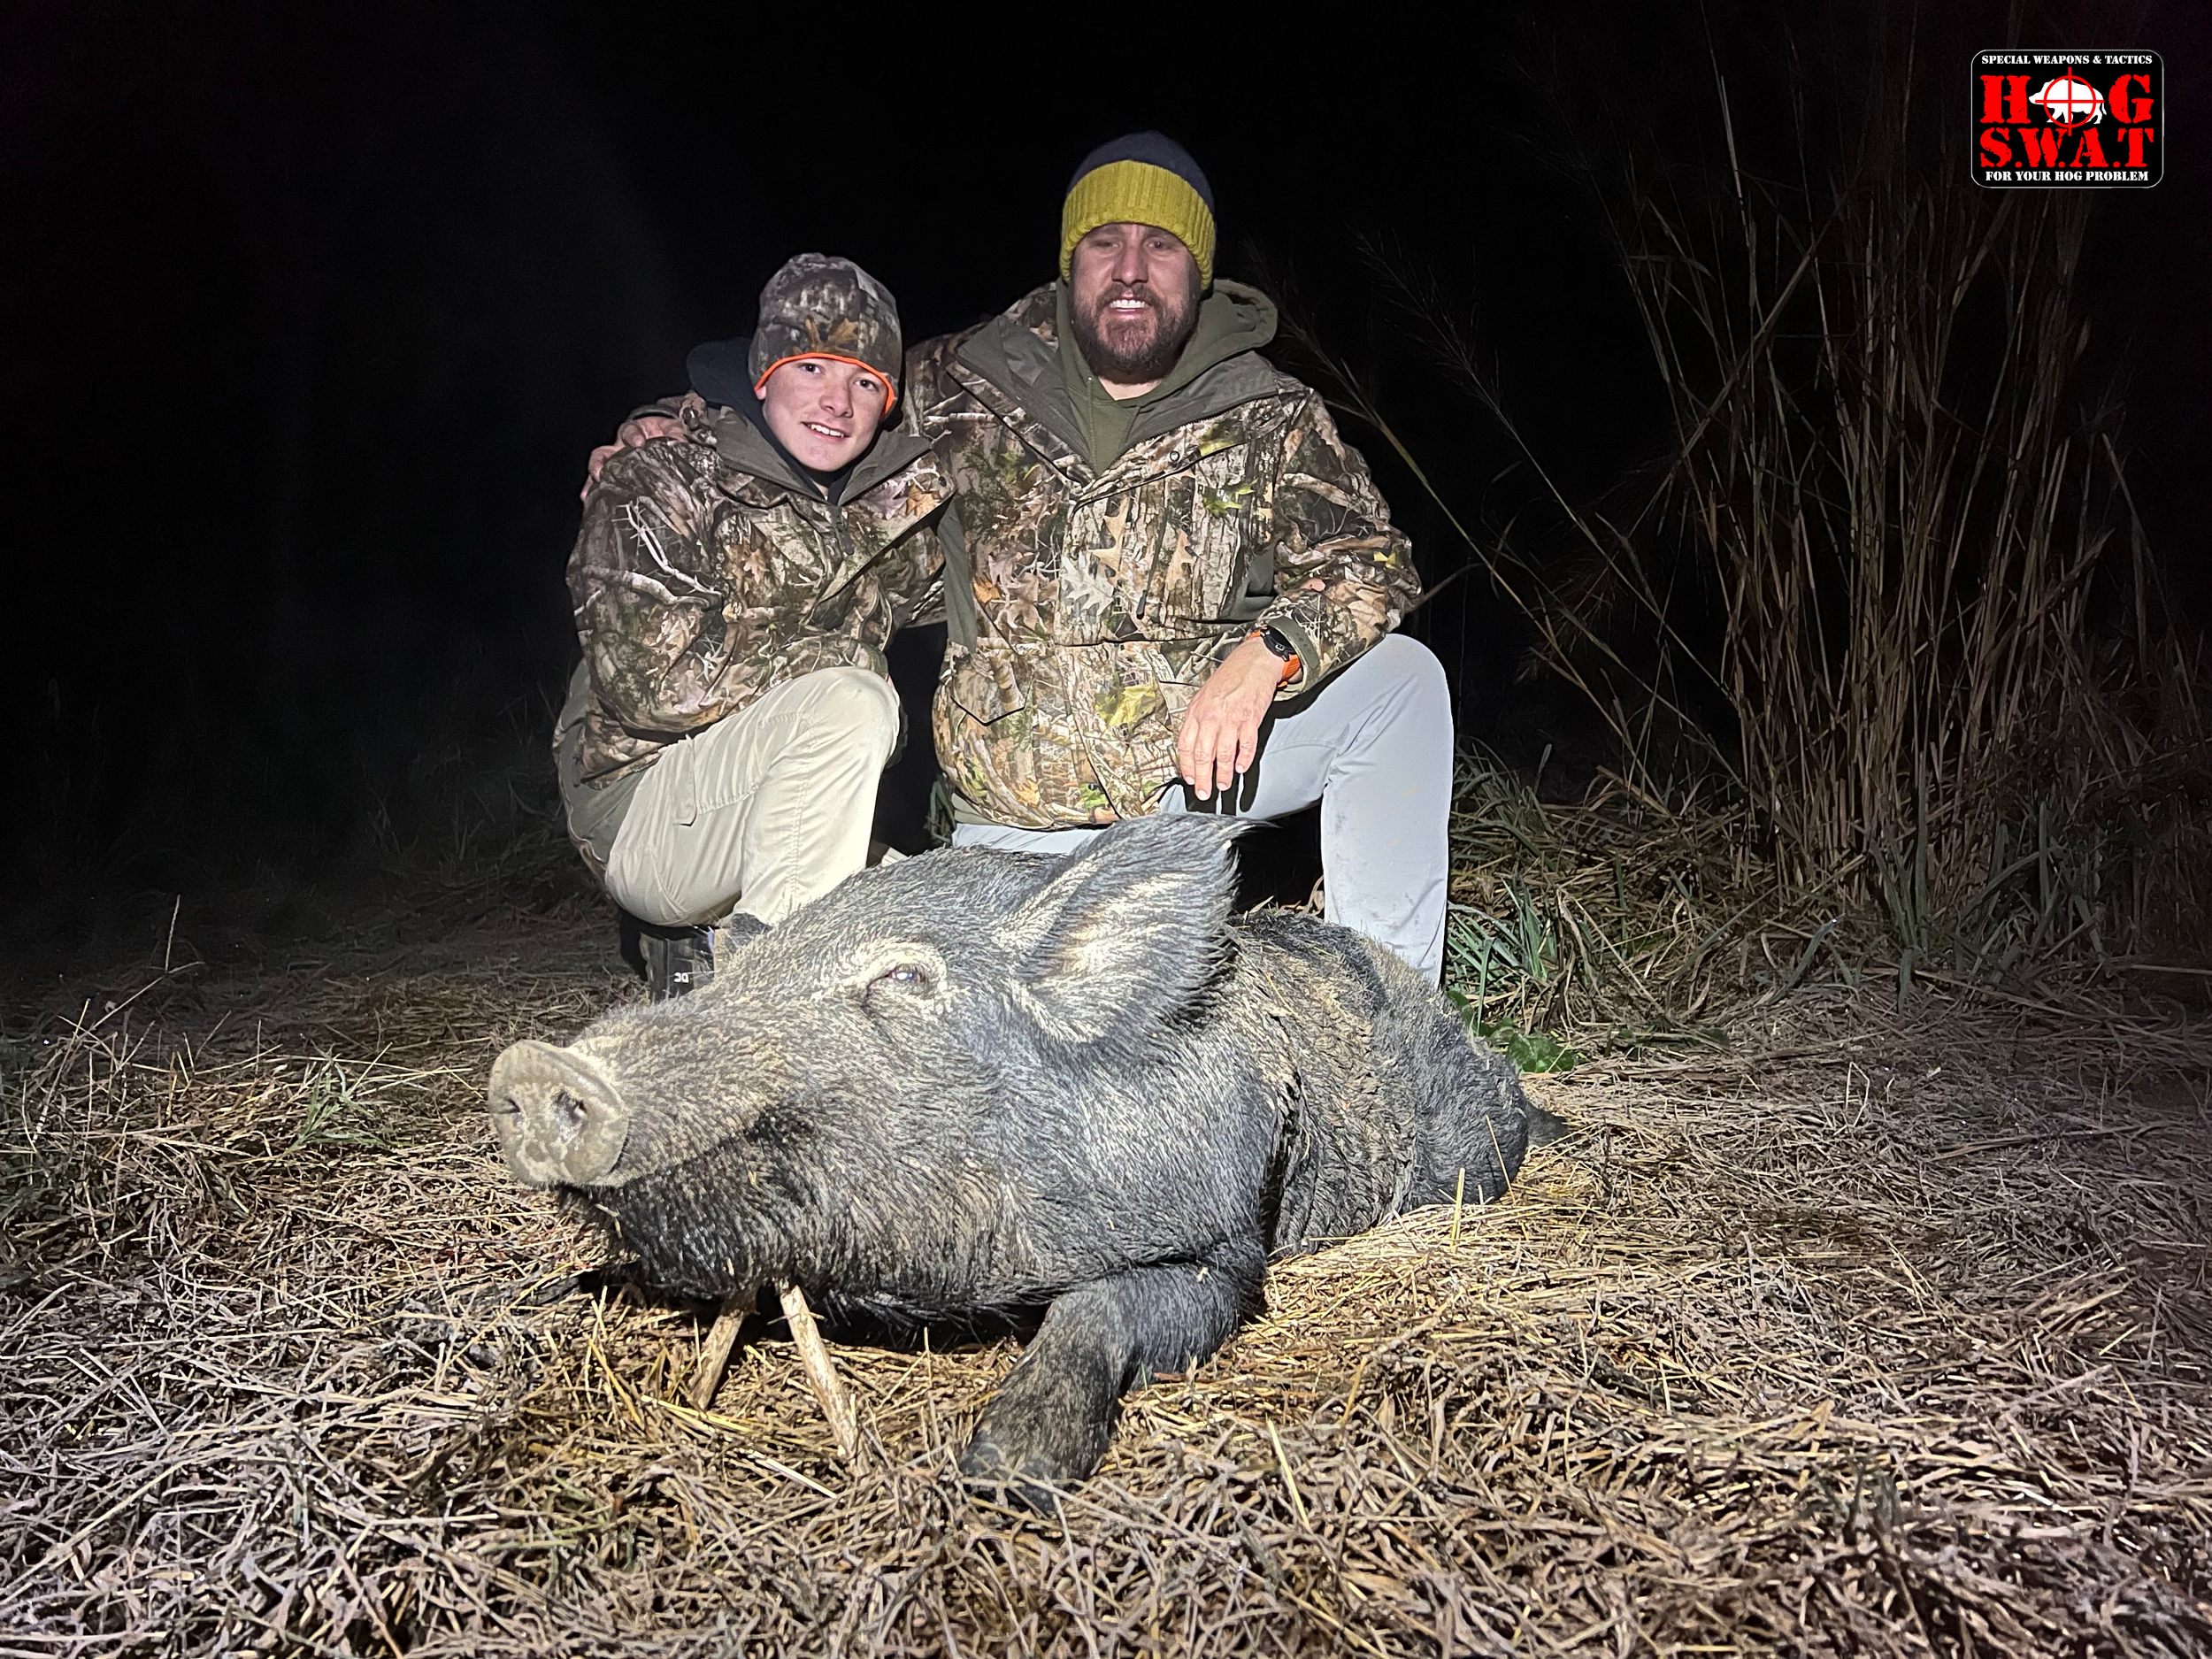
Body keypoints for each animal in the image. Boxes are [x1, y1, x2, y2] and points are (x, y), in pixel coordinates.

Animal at [489, 815, 1534, 1496]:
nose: (536, 1067)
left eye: (906, 977)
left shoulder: (1227, 1241)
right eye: (742, 972)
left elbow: (1107, 1304)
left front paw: (1004, 1470)